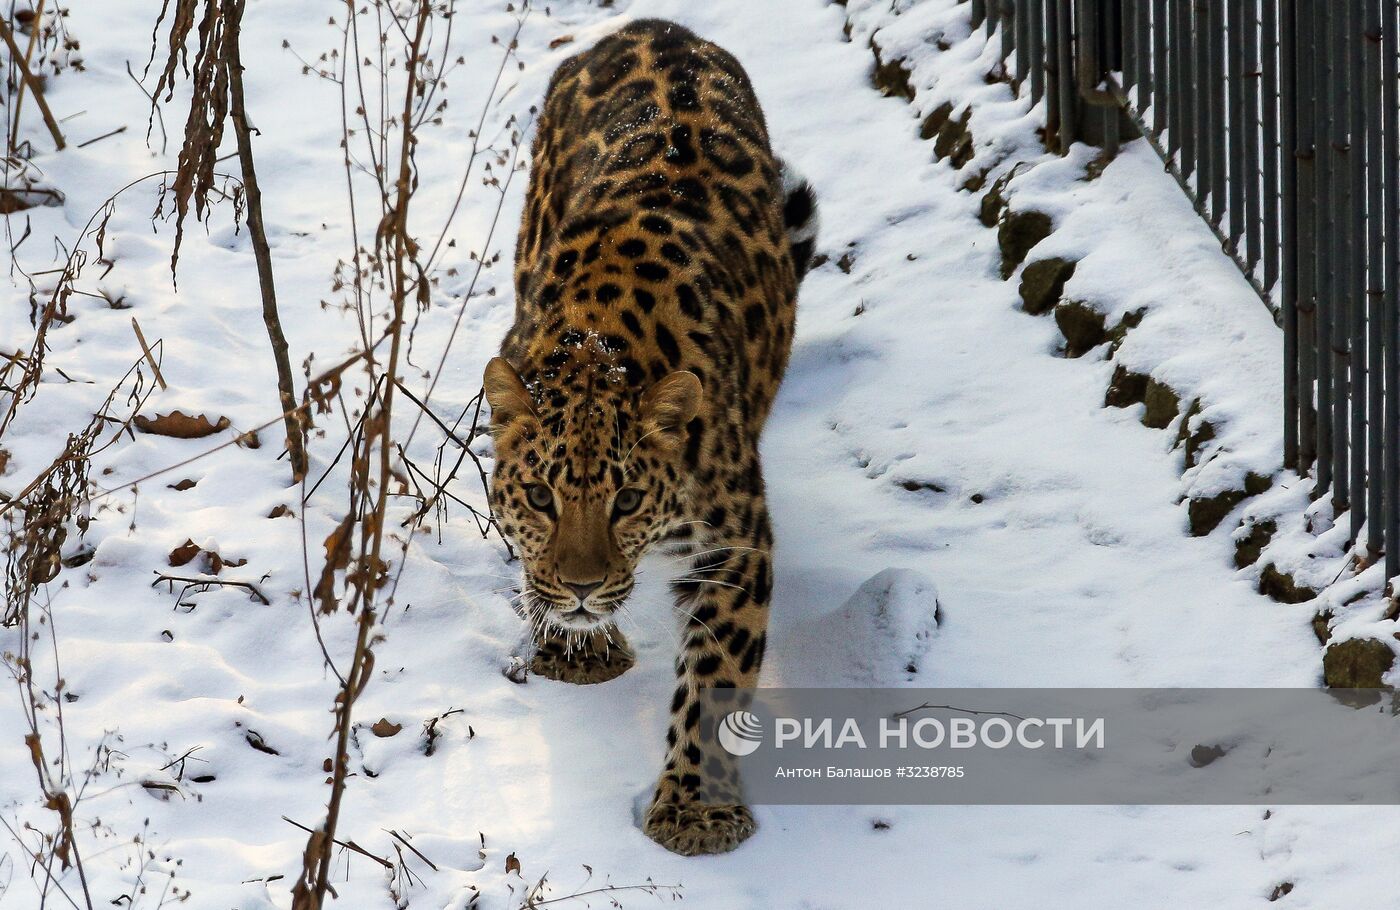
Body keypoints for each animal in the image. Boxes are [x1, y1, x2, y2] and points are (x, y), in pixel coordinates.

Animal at [481, 17, 817, 856]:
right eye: (540, 496)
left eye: (628, 499)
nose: (581, 588)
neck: (596, 342)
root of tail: (653, 26)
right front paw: (576, 646)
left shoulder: (736, 546)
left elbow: (714, 687)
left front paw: (696, 811)